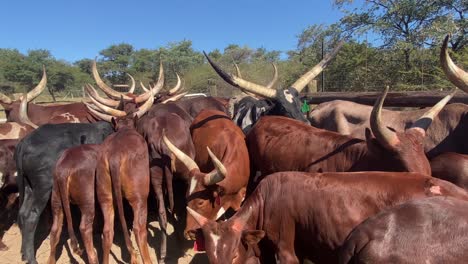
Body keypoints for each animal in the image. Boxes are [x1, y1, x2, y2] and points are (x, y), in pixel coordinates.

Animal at [14, 120, 113, 264]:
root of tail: (24, 143)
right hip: (43, 187)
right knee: (30, 216)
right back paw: (31, 258)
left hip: (28, 187)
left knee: (22, 213)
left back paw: (24, 253)